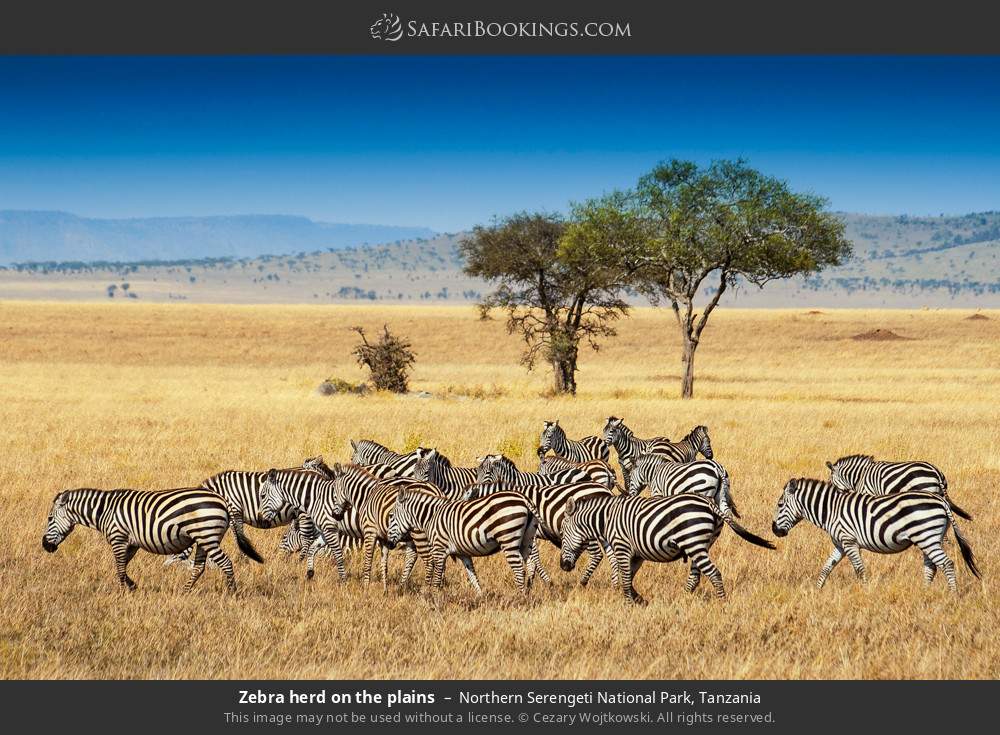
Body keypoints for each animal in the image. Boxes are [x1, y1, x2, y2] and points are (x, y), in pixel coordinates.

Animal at [43, 486, 263, 593]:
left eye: (50, 518)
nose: (45, 546)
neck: (104, 510)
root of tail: (223, 501)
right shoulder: (131, 543)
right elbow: (123, 566)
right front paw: (132, 586)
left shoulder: (118, 538)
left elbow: (119, 567)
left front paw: (123, 592)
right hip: (203, 538)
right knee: (199, 567)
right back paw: (184, 592)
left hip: (207, 535)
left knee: (225, 563)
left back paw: (232, 592)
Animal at [387, 487, 539, 595]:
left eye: (391, 516)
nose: (388, 544)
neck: (431, 516)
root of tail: (523, 498)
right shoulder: (463, 553)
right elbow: (472, 575)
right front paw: (481, 597)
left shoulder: (439, 549)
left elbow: (437, 576)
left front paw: (433, 597)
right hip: (526, 540)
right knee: (529, 564)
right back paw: (527, 593)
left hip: (508, 539)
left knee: (519, 568)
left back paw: (520, 597)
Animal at [466, 480, 619, 588]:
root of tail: (605, 490)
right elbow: (532, 560)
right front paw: (534, 582)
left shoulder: (532, 535)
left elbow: (534, 559)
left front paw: (545, 582)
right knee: (612, 556)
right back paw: (615, 584)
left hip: (588, 530)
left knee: (597, 555)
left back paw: (583, 581)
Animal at [560, 493, 775, 603]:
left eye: (561, 534)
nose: (563, 566)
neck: (606, 518)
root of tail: (708, 502)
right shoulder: (636, 554)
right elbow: (627, 578)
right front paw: (639, 600)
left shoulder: (622, 547)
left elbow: (626, 579)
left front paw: (628, 604)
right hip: (700, 543)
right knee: (696, 576)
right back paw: (682, 600)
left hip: (693, 541)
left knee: (714, 573)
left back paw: (722, 604)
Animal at [771, 478, 980, 592]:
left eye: (780, 505)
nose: (774, 530)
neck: (831, 510)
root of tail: (940, 500)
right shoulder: (840, 544)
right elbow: (826, 567)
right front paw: (817, 590)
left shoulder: (849, 541)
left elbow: (859, 569)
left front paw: (864, 591)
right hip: (929, 538)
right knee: (932, 566)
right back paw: (925, 592)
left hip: (926, 537)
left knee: (946, 564)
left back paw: (953, 594)